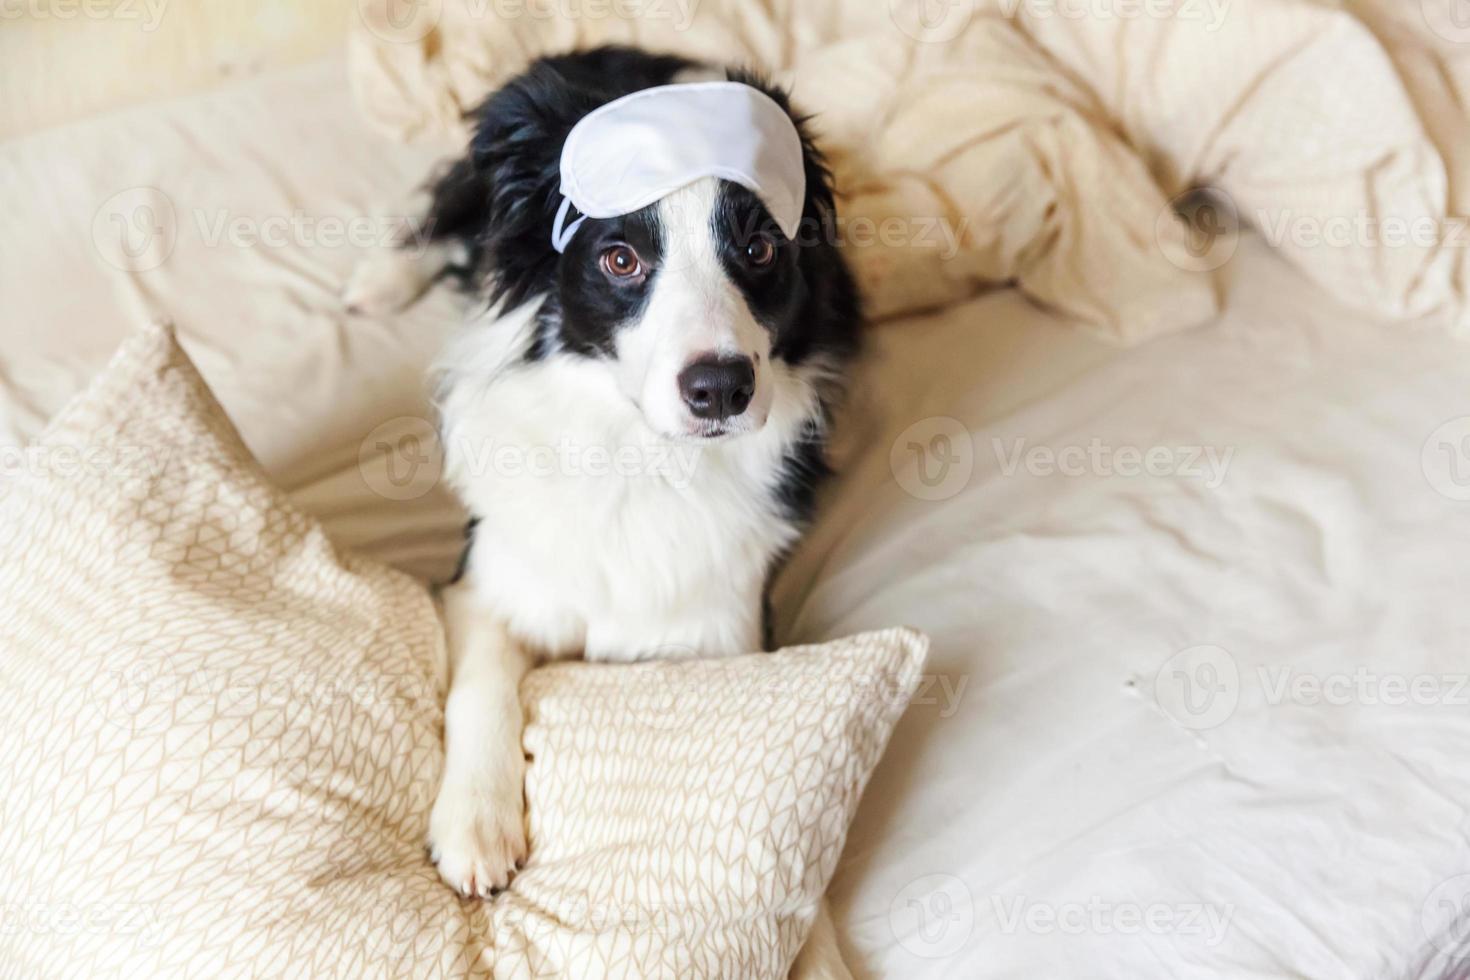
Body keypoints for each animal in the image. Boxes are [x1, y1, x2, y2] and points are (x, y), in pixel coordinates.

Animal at [348, 45, 858, 916]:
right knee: (445, 215)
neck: (641, 454)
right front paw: (475, 826)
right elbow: (481, 683)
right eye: (622, 259)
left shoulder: (721, 627)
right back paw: (379, 280)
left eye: (760, 251)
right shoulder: (490, 578)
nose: (721, 388)